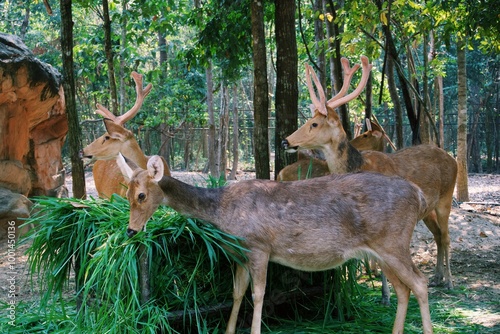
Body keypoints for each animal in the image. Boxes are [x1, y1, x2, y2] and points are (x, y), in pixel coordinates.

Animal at [117, 153, 434, 334]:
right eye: (126, 193)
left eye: (142, 195)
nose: (131, 231)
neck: (222, 211)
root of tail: (420, 196)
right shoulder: (240, 255)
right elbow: (236, 293)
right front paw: (229, 330)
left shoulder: (259, 247)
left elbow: (258, 295)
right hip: (382, 250)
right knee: (403, 289)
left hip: (393, 241)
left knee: (420, 282)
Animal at [282, 56, 458, 288]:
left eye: (314, 124)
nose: (285, 141)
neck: (359, 166)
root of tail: (453, 159)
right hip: (428, 209)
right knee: (438, 234)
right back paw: (437, 277)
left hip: (446, 197)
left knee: (446, 236)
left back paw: (449, 281)